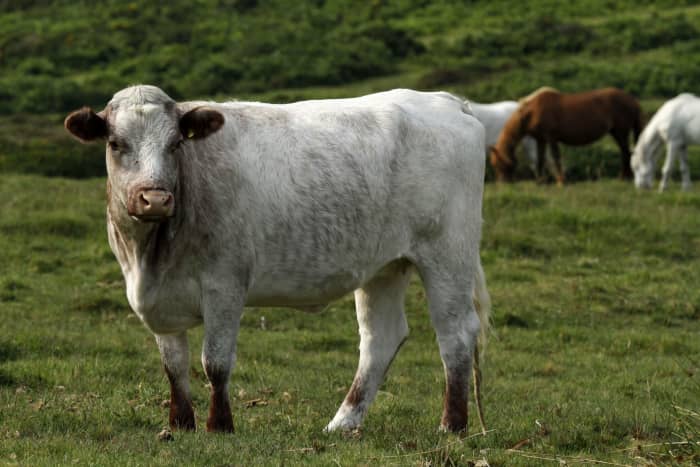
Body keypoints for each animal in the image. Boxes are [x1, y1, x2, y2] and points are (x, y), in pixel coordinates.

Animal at [65, 84, 492, 436]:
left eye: (175, 144)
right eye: (115, 143)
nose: (155, 199)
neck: (150, 257)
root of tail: (445, 101)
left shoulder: (225, 284)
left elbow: (214, 362)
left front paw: (219, 426)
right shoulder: (160, 300)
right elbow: (174, 365)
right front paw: (180, 424)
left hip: (447, 253)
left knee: (455, 333)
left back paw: (452, 425)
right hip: (385, 266)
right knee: (380, 338)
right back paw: (342, 423)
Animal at [490, 88, 644, 184]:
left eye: (501, 164)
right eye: (494, 165)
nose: (503, 184)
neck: (532, 111)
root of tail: (633, 100)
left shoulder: (551, 137)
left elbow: (556, 158)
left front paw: (561, 181)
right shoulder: (541, 139)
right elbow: (540, 160)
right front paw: (540, 182)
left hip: (621, 132)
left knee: (626, 153)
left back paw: (623, 178)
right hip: (616, 132)